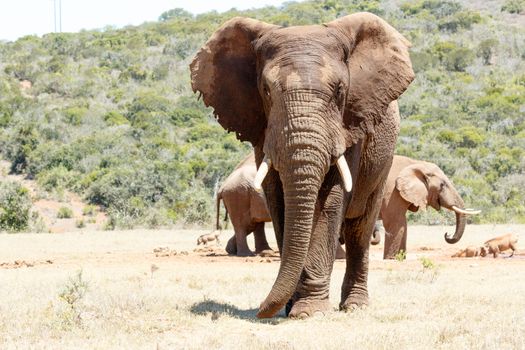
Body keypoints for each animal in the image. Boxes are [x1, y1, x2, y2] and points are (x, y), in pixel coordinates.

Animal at [188, 13, 414, 320]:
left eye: (340, 91)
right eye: (266, 91)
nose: (260, 311)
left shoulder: (350, 123)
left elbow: (329, 202)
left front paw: (309, 311)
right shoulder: (263, 128)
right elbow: (278, 199)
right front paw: (292, 307)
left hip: (383, 162)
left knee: (360, 228)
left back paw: (354, 306)